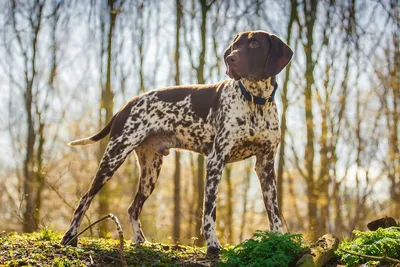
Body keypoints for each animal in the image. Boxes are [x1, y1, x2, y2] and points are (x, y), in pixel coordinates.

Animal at [61, 30, 294, 255]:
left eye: (255, 44)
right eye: (235, 46)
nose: (230, 59)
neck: (255, 102)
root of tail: (126, 105)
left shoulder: (265, 165)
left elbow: (274, 210)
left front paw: (279, 240)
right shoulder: (216, 161)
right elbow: (209, 211)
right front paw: (212, 245)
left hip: (150, 172)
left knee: (132, 208)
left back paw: (141, 242)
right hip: (114, 157)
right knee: (84, 199)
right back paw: (70, 237)